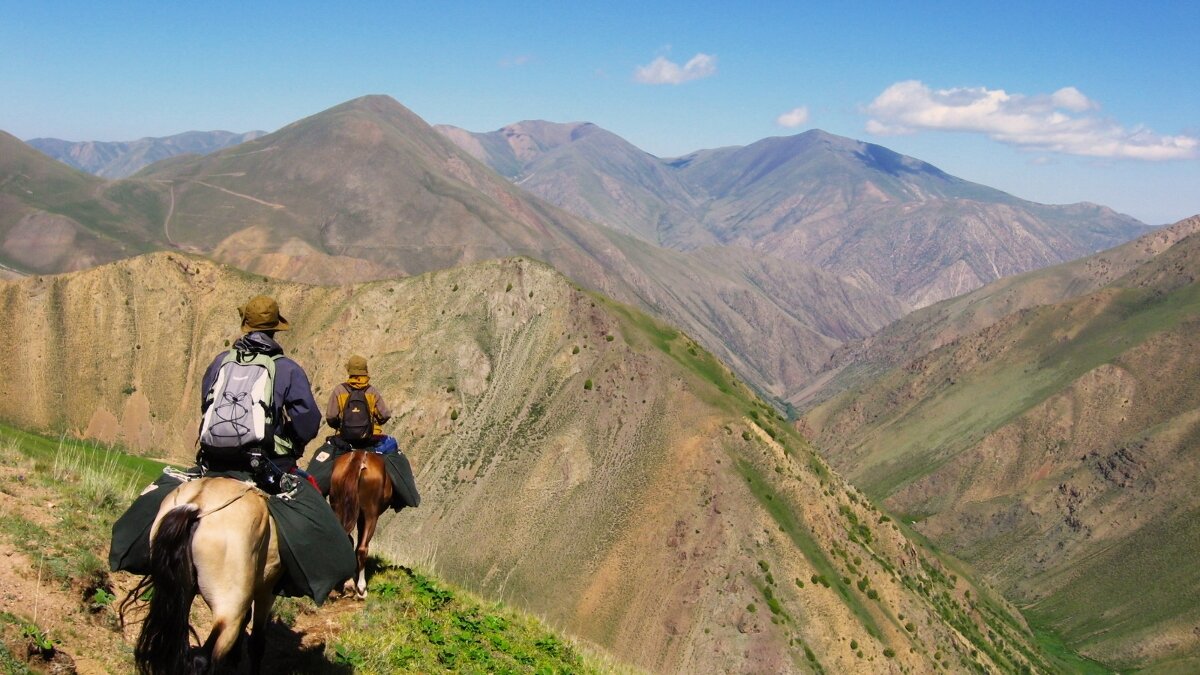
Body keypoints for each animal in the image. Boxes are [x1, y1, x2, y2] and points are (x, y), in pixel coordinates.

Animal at [124, 475, 280, 667]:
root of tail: (197, 506)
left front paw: (234, 658)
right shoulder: (267, 591)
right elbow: (257, 643)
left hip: (181, 594)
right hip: (229, 611)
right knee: (203, 658)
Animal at [328, 449, 393, 595]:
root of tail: (358, 456)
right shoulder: (364, 517)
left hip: (337, 507)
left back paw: (344, 584)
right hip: (371, 514)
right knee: (363, 548)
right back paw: (361, 588)